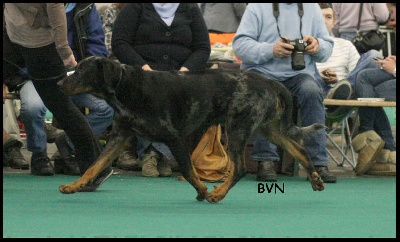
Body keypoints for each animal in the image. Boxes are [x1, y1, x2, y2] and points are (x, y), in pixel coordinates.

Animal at [57, 56, 324, 202]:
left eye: (81, 71)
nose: (58, 82)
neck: (126, 88)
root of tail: (269, 81)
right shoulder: (119, 137)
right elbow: (94, 167)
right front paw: (74, 186)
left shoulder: (174, 138)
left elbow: (187, 170)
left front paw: (204, 191)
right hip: (268, 128)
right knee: (299, 147)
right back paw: (315, 178)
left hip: (238, 129)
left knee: (240, 169)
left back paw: (218, 194)